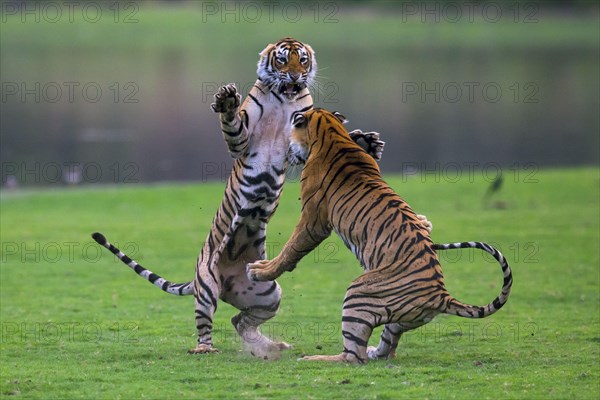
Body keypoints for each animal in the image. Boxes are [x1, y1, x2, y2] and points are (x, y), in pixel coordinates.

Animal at [91, 36, 394, 356]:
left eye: (303, 60)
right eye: (283, 60)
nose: (295, 76)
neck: (283, 99)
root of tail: (223, 279)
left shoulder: (296, 148)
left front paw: (367, 141)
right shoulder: (244, 139)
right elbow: (233, 126)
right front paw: (226, 101)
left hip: (268, 294)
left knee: (240, 320)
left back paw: (271, 346)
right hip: (208, 286)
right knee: (206, 323)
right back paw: (206, 349)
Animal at [246, 108, 512, 364]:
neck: (331, 134)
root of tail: (441, 296)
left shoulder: (313, 220)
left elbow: (291, 248)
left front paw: (260, 270)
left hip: (358, 292)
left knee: (353, 356)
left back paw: (314, 359)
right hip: (397, 318)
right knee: (387, 346)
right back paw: (375, 352)